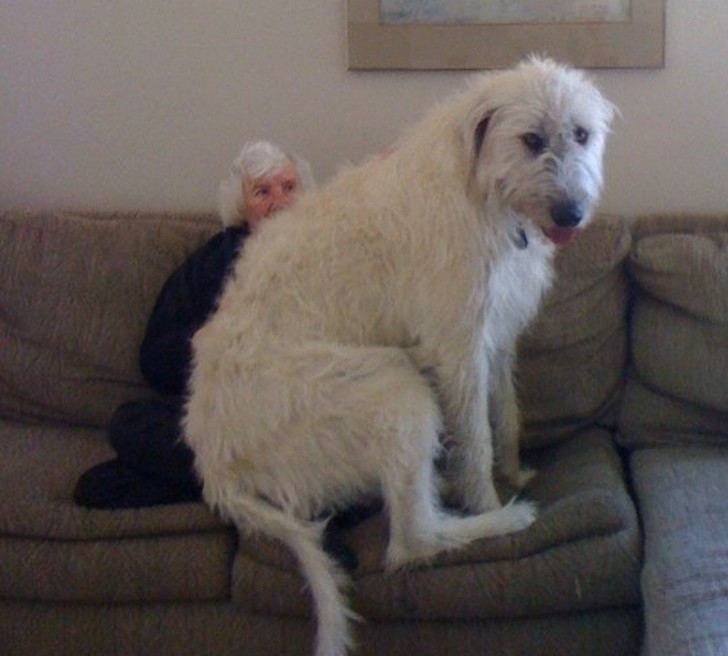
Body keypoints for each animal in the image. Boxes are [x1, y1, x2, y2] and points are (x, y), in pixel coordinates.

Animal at [183, 56, 616, 656]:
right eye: (531, 139)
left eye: (581, 134)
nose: (571, 214)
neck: (482, 189)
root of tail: (213, 462)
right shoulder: (455, 347)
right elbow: (477, 436)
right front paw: (488, 497)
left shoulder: (494, 336)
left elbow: (505, 415)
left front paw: (513, 470)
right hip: (391, 388)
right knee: (410, 542)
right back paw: (497, 522)